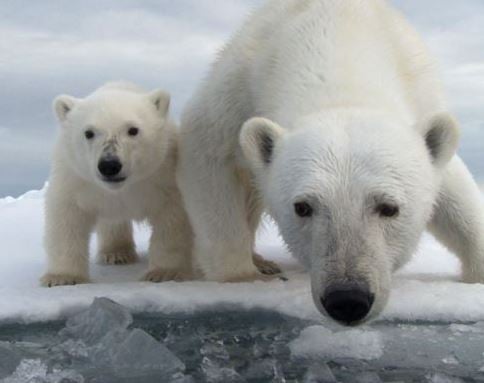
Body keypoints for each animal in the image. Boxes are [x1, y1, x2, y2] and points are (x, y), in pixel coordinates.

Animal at [178, 0, 484, 326]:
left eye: (389, 207)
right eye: (302, 207)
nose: (348, 299)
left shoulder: (420, 96)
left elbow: (456, 196)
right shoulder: (238, 89)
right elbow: (209, 156)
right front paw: (243, 277)